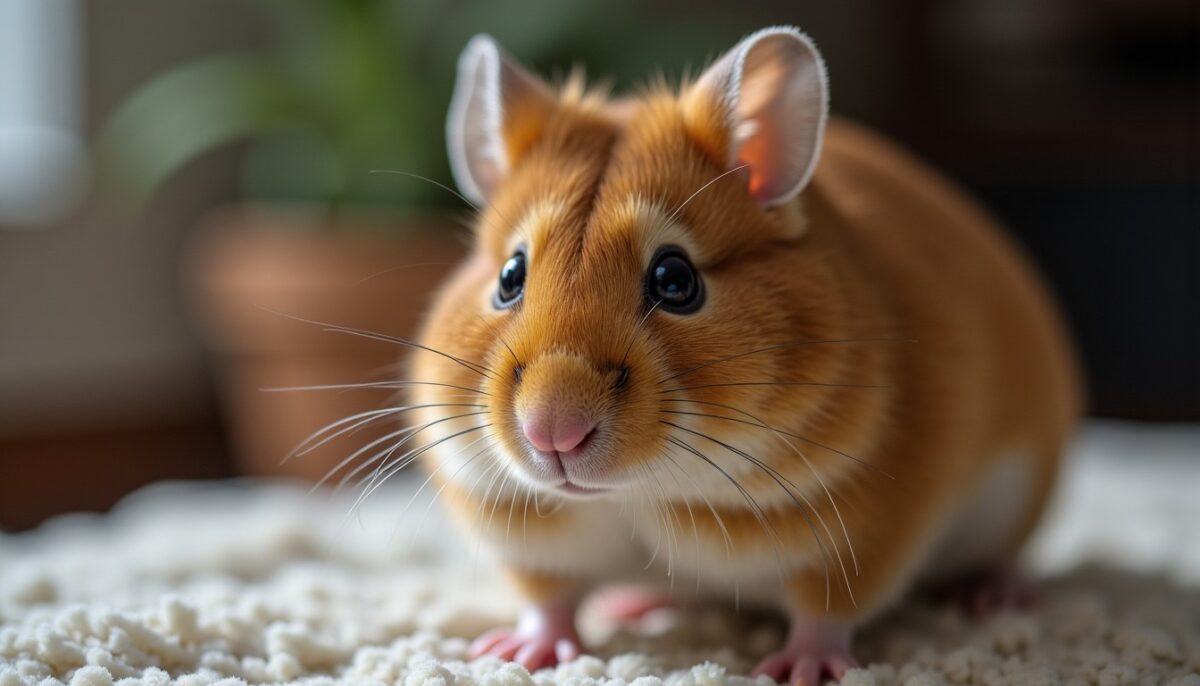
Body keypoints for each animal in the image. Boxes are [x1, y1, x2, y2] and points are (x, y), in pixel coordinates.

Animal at [408, 26, 1080, 684]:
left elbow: (825, 612)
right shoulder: (527, 542)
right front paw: (512, 655)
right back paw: (637, 602)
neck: (642, 493)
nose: (553, 434)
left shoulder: (862, 534)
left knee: (1002, 561)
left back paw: (996, 597)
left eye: (675, 279)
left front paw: (801, 671)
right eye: (509, 276)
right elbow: (548, 602)